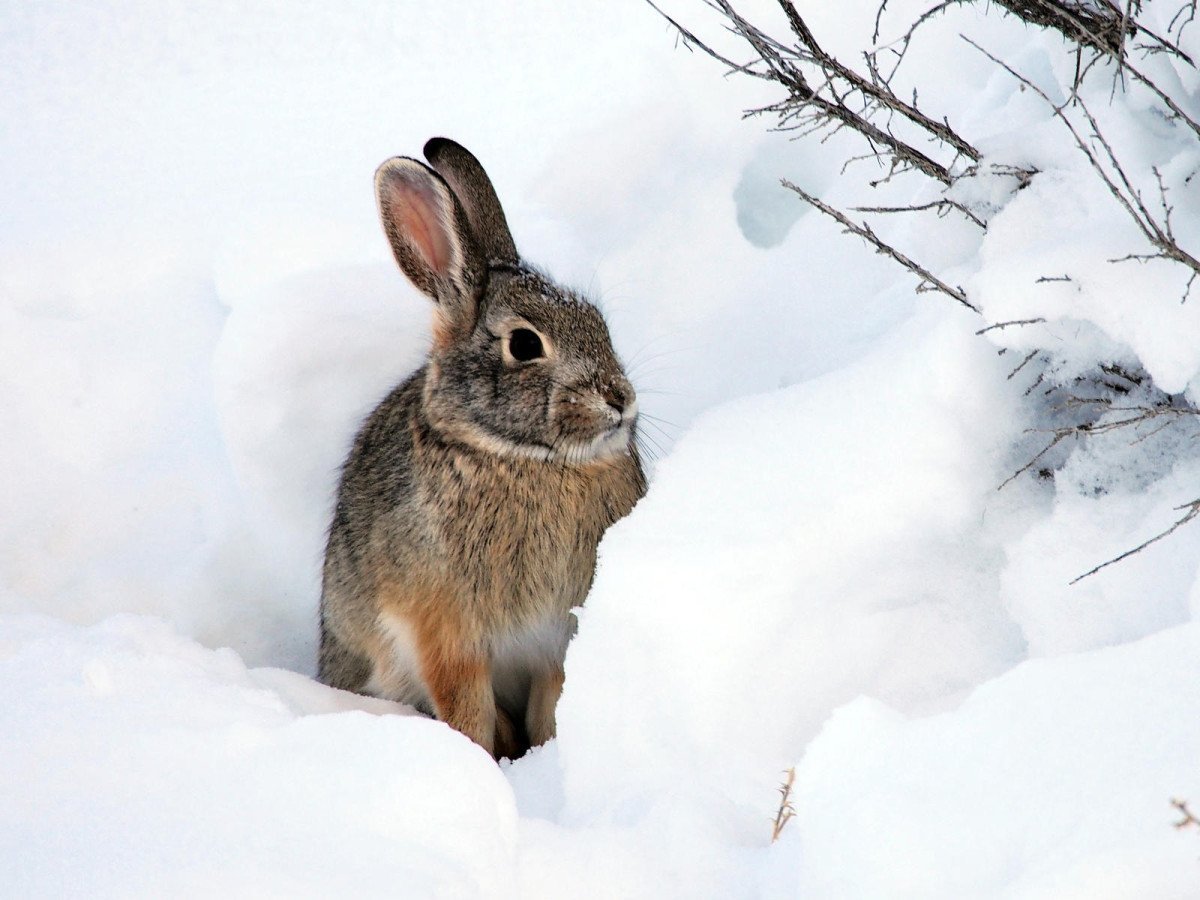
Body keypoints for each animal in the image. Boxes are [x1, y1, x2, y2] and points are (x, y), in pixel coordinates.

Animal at [314, 139, 643, 763]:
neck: (525, 459)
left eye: (598, 322)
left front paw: (547, 759)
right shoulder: (447, 635)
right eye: (525, 345)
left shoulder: (555, 639)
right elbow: (468, 711)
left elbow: (551, 706)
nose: (620, 398)